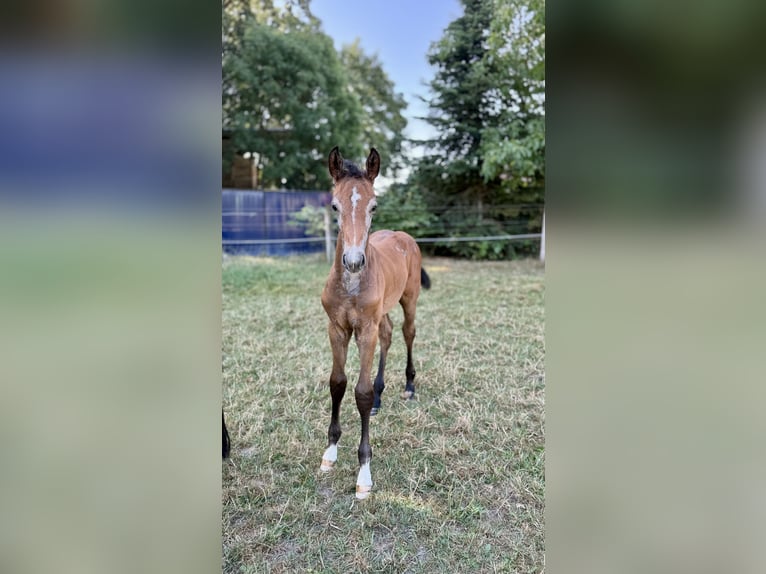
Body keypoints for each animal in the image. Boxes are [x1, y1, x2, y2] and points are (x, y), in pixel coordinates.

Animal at [319, 146, 430, 499]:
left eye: (374, 205)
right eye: (335, 205)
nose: (353, 262)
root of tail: (402, 235)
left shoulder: (364, 330)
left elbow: (361, 392)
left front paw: (364, 473)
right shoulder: (337, 328)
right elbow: (338, 383)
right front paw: (330, 453)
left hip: (409, 298)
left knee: (408, 332)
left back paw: (409, 386)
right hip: (382, 311)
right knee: (389, 334)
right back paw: (383, 398)